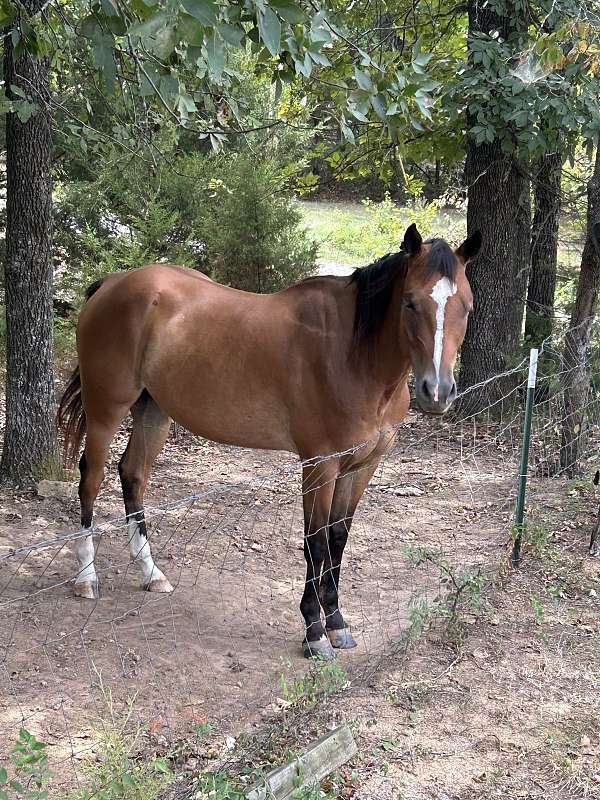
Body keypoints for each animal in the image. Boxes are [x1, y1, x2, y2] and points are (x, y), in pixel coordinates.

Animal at [58, 223, 481, 660]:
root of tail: (113, 282)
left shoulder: (362, 466)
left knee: (132, 474)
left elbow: (338, 538)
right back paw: (86, 578)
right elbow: (316, 542)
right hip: (106, 410)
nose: (437, 392)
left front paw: (337, 623)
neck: (351, 354)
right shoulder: (320, 465)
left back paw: (150, 572)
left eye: (466, 307)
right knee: (91, 479)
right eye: (411, 303)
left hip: (154, 411)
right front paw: (314, 631)